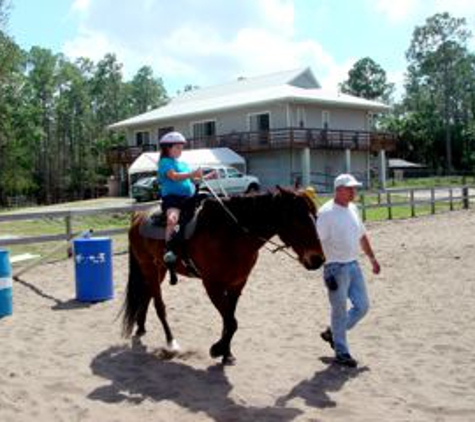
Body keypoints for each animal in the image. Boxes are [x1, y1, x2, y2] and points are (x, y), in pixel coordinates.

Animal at [121, 186, 326, 364]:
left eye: (315, 216)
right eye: (298, 219)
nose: (318, 259)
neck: (230, 234)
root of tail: (138, 216)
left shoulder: (237, 284)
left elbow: (229, 320)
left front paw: (226, 353)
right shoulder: (212, 285)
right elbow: (231, 322)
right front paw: (217, 349)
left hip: (160, 269)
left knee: (147, 295)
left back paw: (141, 326)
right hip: (148, 267)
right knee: (159, 305)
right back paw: (171, 342)